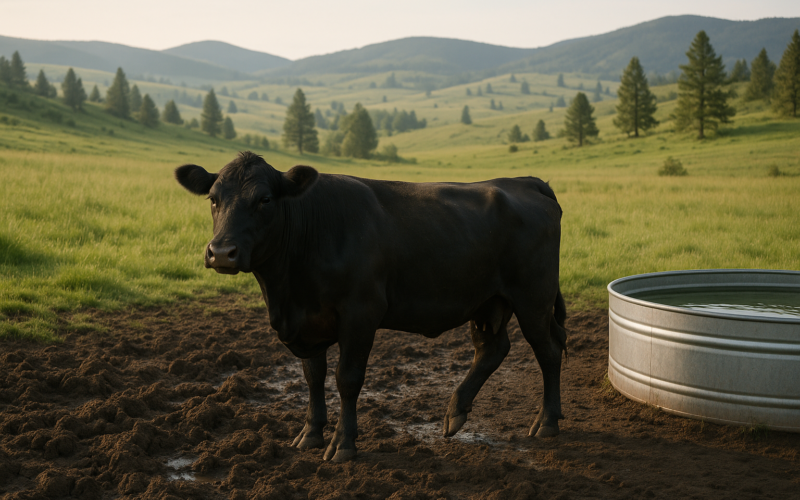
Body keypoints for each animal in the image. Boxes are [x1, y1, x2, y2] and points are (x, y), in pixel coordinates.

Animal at [175, 151, 567, 462]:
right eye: (213, 198)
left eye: (265, 199)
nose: (221, 252)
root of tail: (524, 182)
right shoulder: (308, 323)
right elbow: (313, 376)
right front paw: (310, 434)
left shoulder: (360, 314)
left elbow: (347, 378)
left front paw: (343, 444)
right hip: (486, 301)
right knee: (492, 349)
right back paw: (455, 412)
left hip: (534, 298)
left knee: (548, 350)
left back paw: (547, 422)